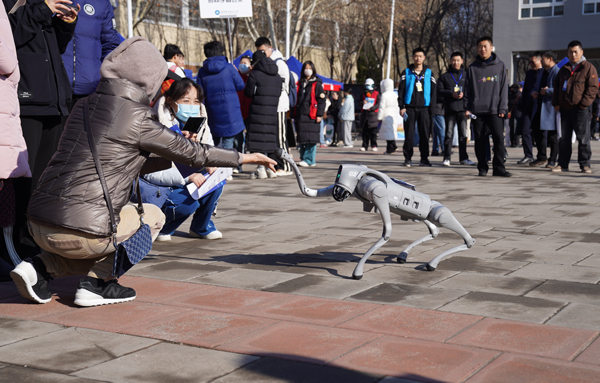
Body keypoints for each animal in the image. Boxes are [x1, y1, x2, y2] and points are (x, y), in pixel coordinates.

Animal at [278, 148, 478, 280]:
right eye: (337, 178)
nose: (281, 151)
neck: (361, 180)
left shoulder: (378, 193)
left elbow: (387, 233)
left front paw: (357, 272)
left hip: (434, 212)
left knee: (455, 228)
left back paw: (432, 263)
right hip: (416, 216)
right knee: (434, 230)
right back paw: (404, 256)